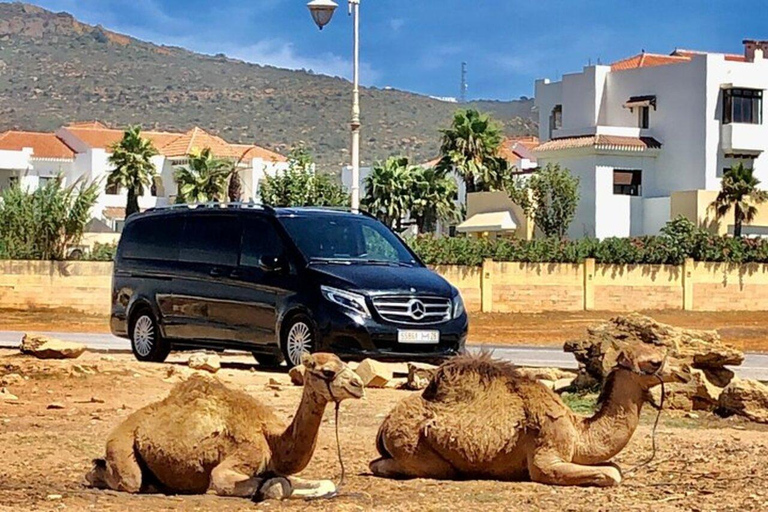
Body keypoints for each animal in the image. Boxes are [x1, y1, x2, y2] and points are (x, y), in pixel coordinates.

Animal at [88, 352, 364, 500]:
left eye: (345, 363)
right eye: (328, 371)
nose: (358, 385)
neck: (273, 439)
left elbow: (321, 482)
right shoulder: (244, 455)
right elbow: (273, 485)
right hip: (121, 443)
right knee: (128, 480)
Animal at [368, 344, 688, 488]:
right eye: (655, 361)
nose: (685, 371)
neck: (577, 430)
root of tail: (384, 424)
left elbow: (614, 466)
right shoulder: (546, 457)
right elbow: (611, 474)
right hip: (414, 445)